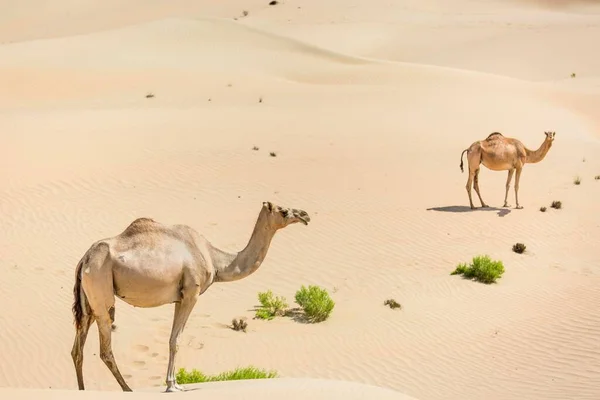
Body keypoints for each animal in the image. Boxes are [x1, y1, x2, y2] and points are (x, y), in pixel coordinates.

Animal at [71, 200, 310, 390]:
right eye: (283, 211)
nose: (305, 215)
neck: (215, 259)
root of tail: (84, 260)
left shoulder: (179, 297)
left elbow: (173, 338)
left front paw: (174, 382)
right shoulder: (191, 293)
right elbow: (175, 339)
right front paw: (172, 385)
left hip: (88, 303)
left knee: (77, 349)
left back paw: (83, 390)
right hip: (102, 291)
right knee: (105, 348)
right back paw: (127, 389)